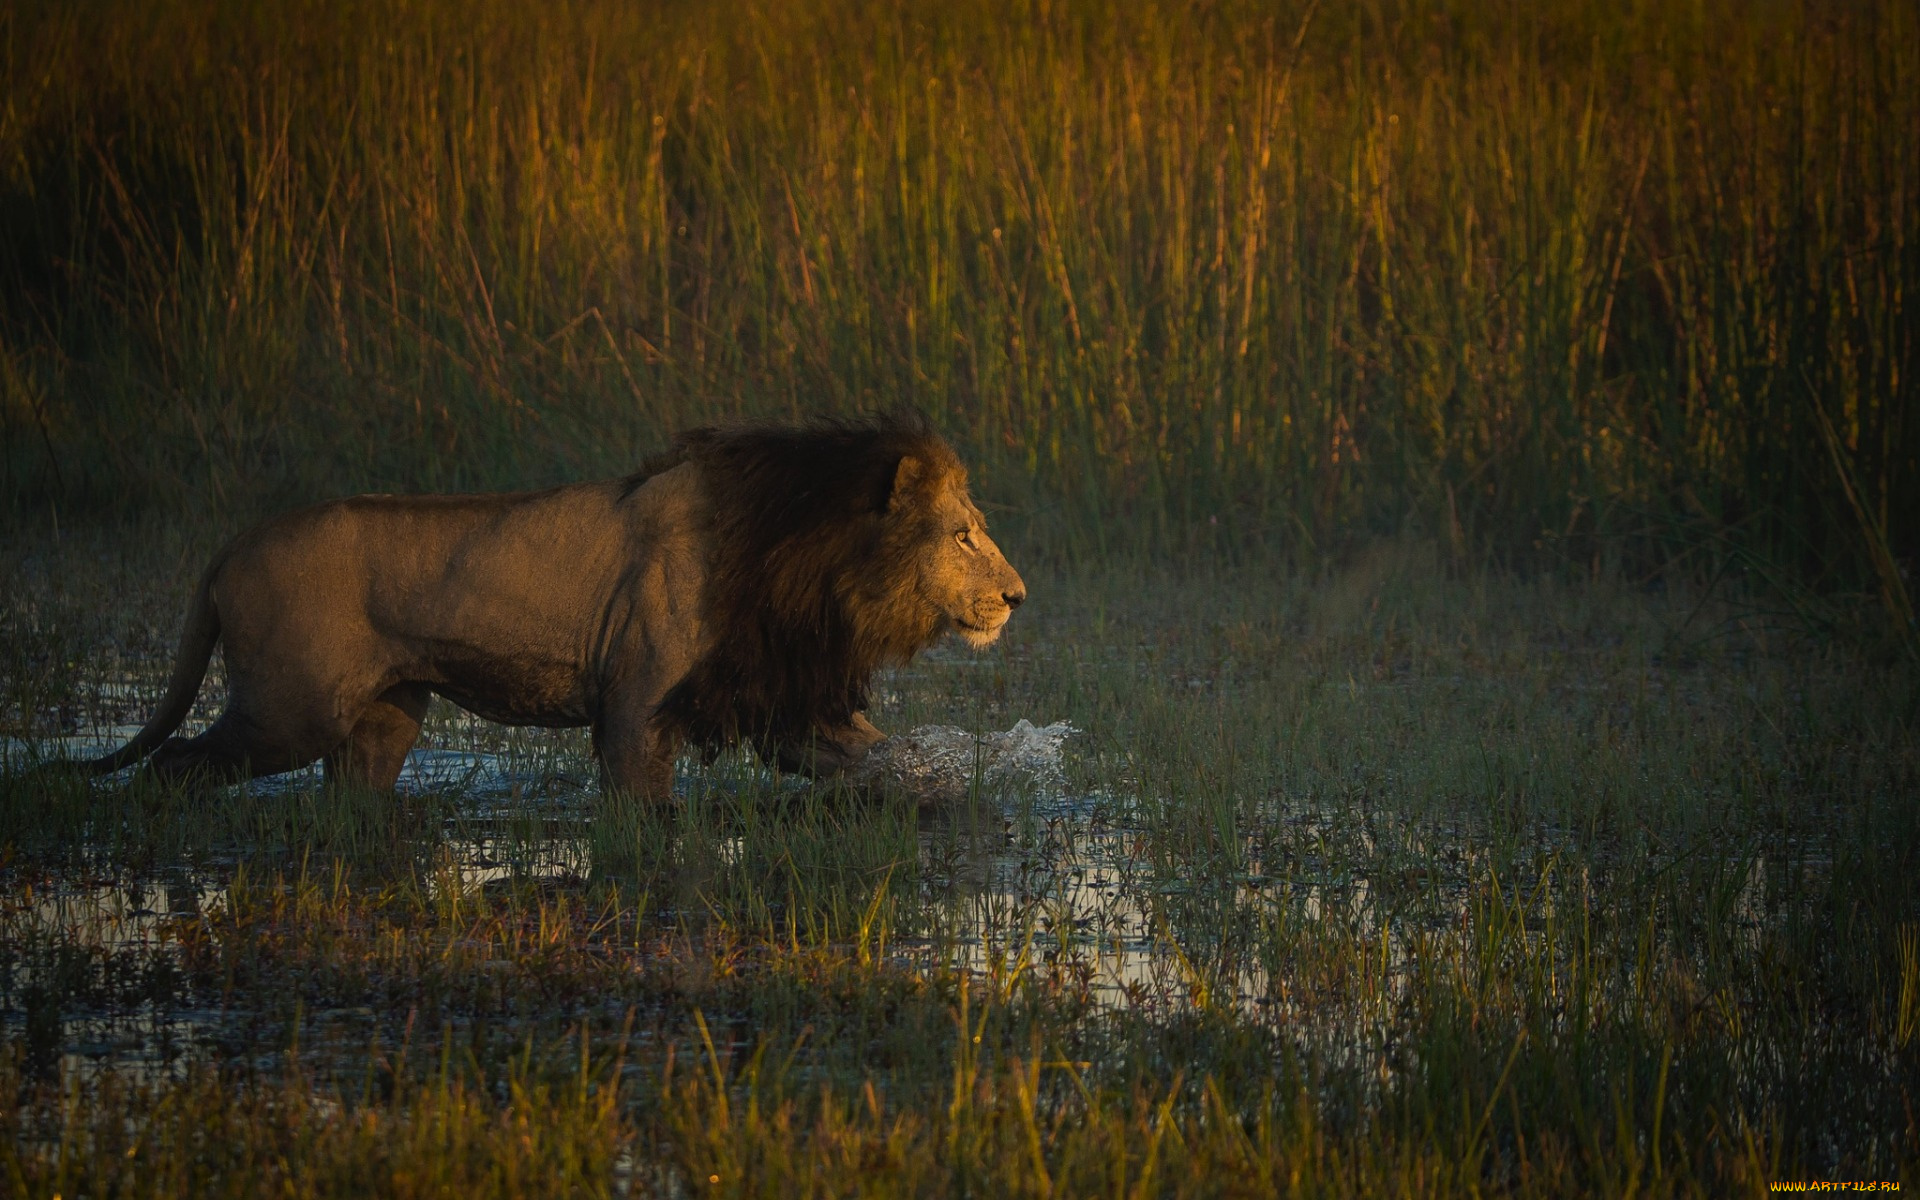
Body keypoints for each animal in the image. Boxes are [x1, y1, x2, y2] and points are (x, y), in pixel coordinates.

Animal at [82, 410, 1029, 806]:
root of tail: (232, 545)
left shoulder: (777, 701)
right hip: (290, 708)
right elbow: (642, 806)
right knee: (174, 765)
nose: (1017, 596)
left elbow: (876, 760)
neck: (809, 562)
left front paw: (946, 795)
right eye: (964, 537)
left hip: (384, 719)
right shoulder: (639, 700)